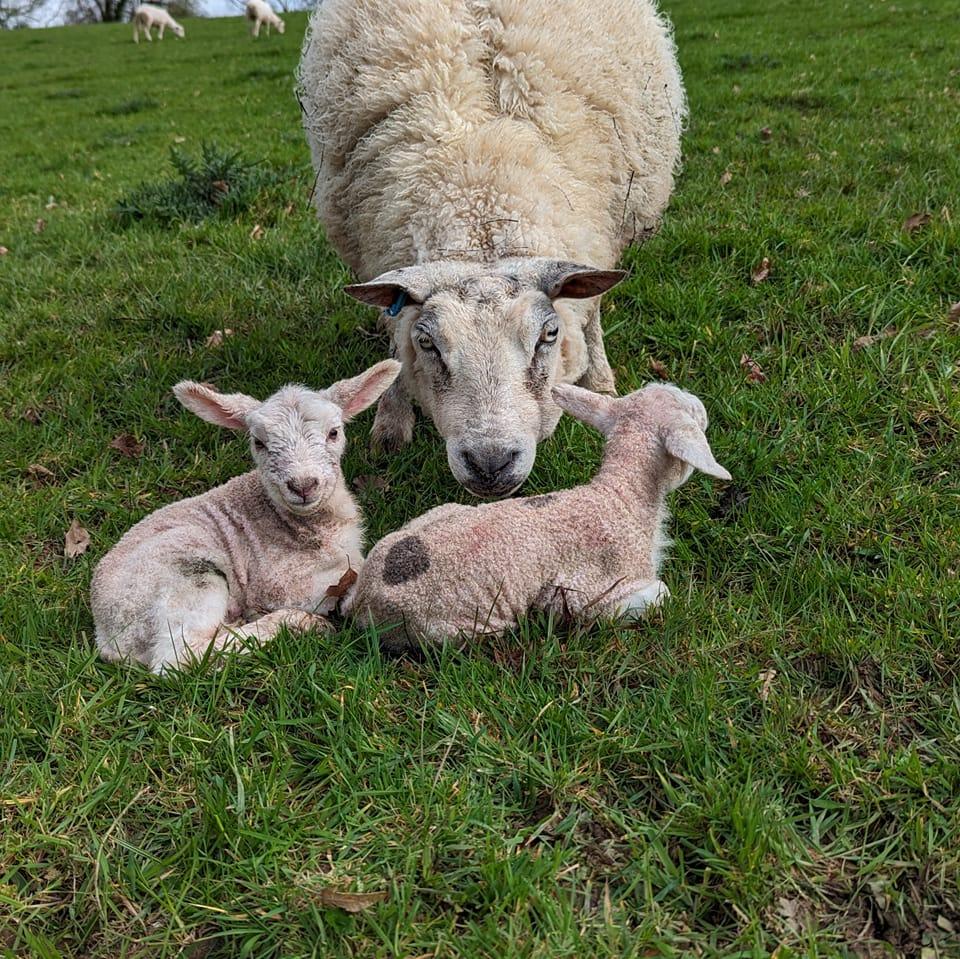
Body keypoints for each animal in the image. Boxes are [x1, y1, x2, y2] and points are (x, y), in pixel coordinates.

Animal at [92, 362, 400, 676]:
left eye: (334, 433)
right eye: (258, 442)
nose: (303, 486)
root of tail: (107, 636)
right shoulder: (286, 583)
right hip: (184, 577)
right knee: (179, 656)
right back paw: (293, 624)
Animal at [296, 0, 688, 496]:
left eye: (549, 335)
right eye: (427, 343)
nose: (490, 462)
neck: (481, 186)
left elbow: (591, 312)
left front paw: (599, 384)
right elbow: (394, 343)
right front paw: (390, 424)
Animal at [348, 382, 732, 652]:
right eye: (692, 415)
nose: (704, 408)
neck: (621, 497)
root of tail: (362, 600)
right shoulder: (588, 593)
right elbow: (661, 593)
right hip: (457, 626)